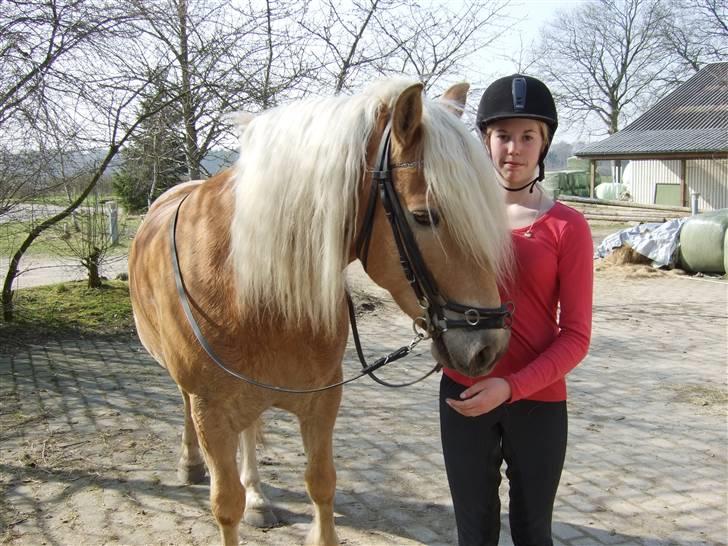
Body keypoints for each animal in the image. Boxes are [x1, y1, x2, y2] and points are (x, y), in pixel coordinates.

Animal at [128, 77, 512, 544]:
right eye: (424, 216)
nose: (489, 346)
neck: (249, 290)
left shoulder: (323, 401)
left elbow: (321, 483)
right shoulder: (211, 412)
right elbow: (225, 506)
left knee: (249, 436)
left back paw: (258, 497)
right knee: (189, 409)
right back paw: (190, 464)